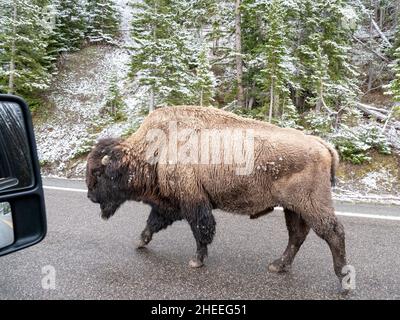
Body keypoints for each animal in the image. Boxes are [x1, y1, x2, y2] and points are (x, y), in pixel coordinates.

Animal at [86, 105, 348, 284]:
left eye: (99, 173)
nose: (90, 196)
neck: (156, 149)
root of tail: (322, 144)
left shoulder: (193, 201)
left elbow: (201, 229)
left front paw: (196, 261)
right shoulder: (169, 204)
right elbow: (153, 223)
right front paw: (140, 242)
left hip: (311, 204)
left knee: (332, 232)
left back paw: (343, 278)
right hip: (293, 208)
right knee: (297, 235)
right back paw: (277, 266)